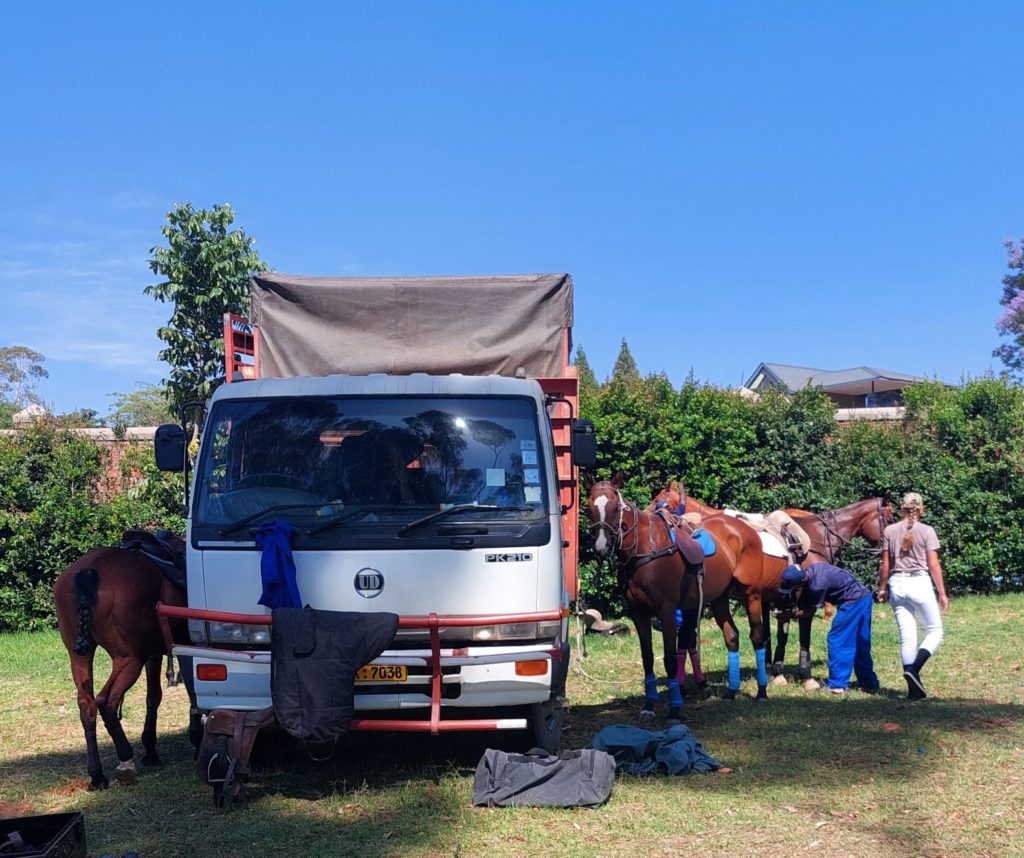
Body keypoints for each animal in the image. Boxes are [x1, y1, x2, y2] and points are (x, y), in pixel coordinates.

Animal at [53, 536, 195, 794]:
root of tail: (89, 571)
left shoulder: (153, 654)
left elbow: (154, 697)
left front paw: (151, 750)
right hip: (129, 659)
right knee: (107, 701)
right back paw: (125, 759)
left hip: (79, 655)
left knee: (87, 704)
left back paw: (97, 775)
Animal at [589, 470, 778, 720]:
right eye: (589, 507)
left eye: (614, 507)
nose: (601, 547)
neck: (646, 547)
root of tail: (746, 529)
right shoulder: (638, 613)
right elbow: (648, 657)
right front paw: (649, 705)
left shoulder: (667, 611)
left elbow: (670, 658)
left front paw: (675, 708)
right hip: (719, 598)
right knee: (732, 636)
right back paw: (731, 691)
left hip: (752, 595)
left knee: (757, 636)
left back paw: (762, 691)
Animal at [651, 487, 892, 683]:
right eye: (889, 520)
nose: (886, 548)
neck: (817, 536)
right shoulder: (803, 600)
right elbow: (800, 635)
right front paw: (803, 674)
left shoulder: (778, 598)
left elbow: (778, 634)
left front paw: (775, 669)